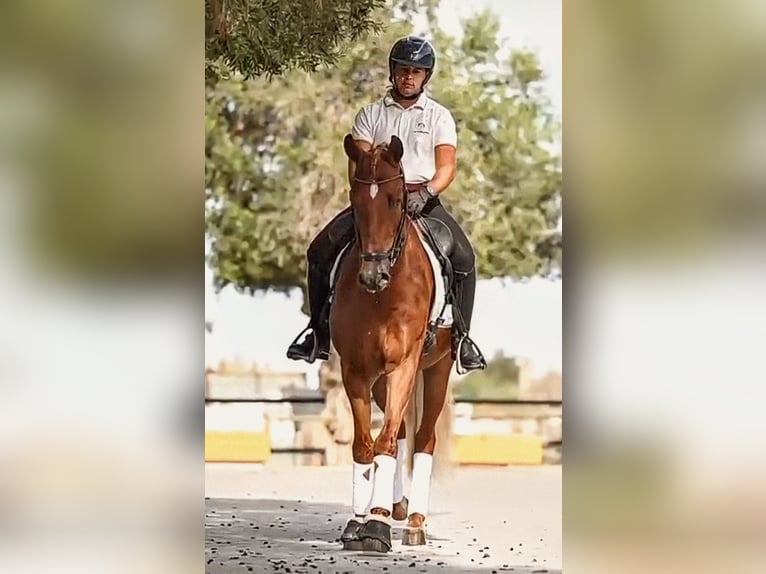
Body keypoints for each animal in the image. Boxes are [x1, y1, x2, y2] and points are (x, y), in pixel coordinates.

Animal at [329, 133, 456, 552]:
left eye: (397, 201)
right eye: (355, 201)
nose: (373, 275)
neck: (382, 297)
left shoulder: (404, 365)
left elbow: (384, 444)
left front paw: (377, 526)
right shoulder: (354, 370)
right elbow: (364, 445)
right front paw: (358, 521)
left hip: (436, 370)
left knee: (423, 438)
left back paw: (414, 522)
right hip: (382, 382)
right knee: (399, 432)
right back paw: (395, 507)